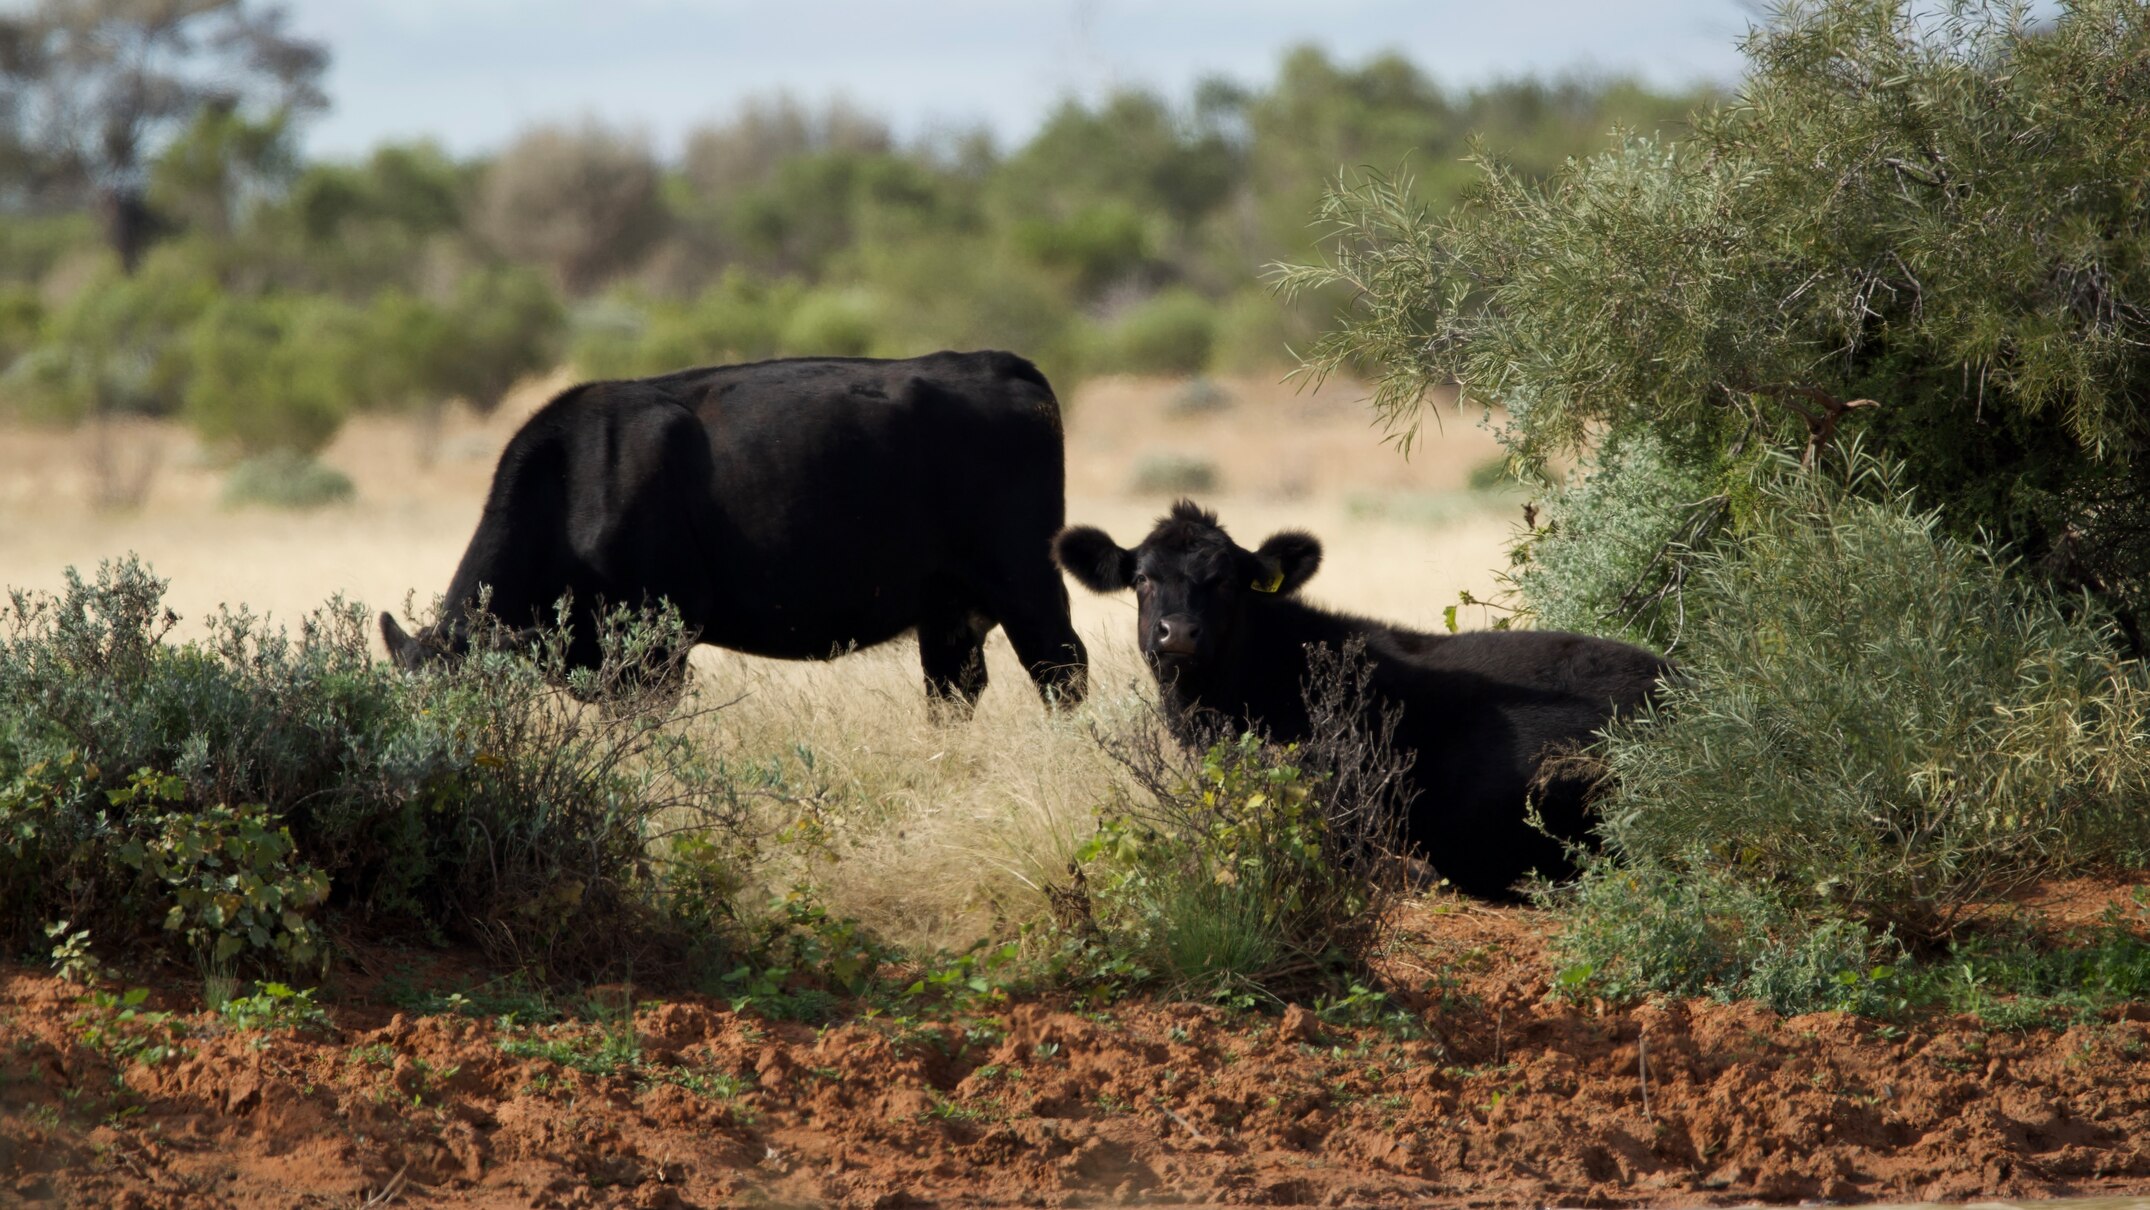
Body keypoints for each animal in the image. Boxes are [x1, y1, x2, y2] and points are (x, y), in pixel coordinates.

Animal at [380, 351, 1088, 712]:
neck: (573, 480)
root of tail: (997, 362)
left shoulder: (654, 652)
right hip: (947, 607)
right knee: (953, 688)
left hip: (1026, 581)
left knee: (1063, 672)